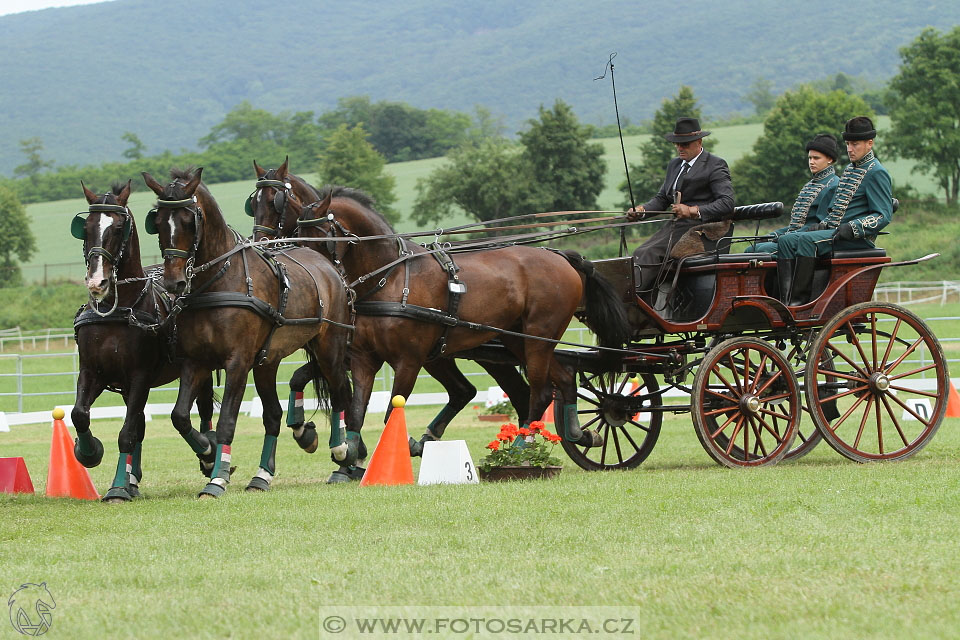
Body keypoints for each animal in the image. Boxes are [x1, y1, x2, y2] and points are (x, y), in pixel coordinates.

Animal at [71, 179, 216, 500]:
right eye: (85, 227)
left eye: (118, 228)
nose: (97, 282)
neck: (116, 310)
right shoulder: (92, 372)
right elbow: (79, 414)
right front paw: (89, 452)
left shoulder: (139, 376)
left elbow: (126, 434)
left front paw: (117, 488)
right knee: (138, 424)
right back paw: (133, 479)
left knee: (203, 410)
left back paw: (208, 452)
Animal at [141, 168, 354, 498]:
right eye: (159, 221)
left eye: (190, 220)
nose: (174, 282)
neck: (220, 281)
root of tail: (329, 268)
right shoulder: (195, 362)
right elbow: (179, 416)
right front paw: (208, 452)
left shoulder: (238, 363)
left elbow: (227, 421)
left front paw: (217, 479)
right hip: (268, 361)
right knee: (274, 415)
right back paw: (263, 474)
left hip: (328, 347)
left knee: (340, 391)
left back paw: (342, 449)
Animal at [248, 160, 532, 480]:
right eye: (253, 204)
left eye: (276, 202)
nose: (260, 243)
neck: (385, 274)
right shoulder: (350, 354)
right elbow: (314, 384)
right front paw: (325, 443)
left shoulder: (351, 354)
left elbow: (343, 396)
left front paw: (349, 457)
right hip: (451, 356)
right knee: (475, 391)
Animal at [296, 185, 632, 456]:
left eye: (318, 237)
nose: (316, 280)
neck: (391, 277)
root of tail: (560, 256)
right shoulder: (365, 359)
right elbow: (356, 411)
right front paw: (348, 454)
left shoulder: (408, 360)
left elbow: (393, 411)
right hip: (517, 339)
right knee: (561, 379)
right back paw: (578, 434)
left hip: (539, 337)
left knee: (540, 392)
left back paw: (521, 444)